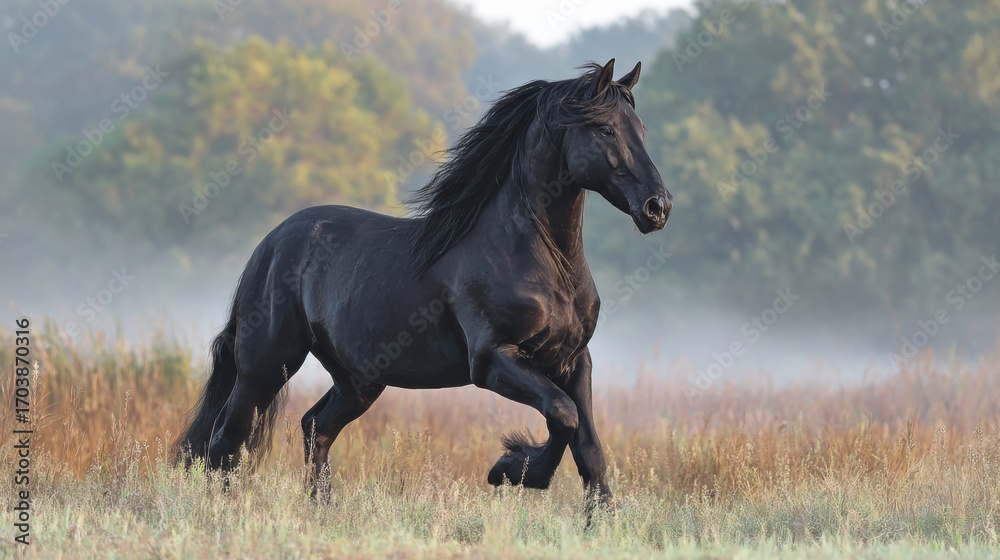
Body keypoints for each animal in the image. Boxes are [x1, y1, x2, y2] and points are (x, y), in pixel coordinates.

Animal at [177, 58, 672, 511]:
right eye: (605, 130)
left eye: (641, 128)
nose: (658, 207)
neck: (543, 260)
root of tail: (270, 245)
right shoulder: (492, 361)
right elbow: (563, 416)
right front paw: (510, 470)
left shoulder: (573, 361)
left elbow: (588, 447)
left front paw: (595, 517)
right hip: (266, 365)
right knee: (226, 441)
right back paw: (224, 513)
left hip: (358, 380)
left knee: (314, 428)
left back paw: (322, 510)